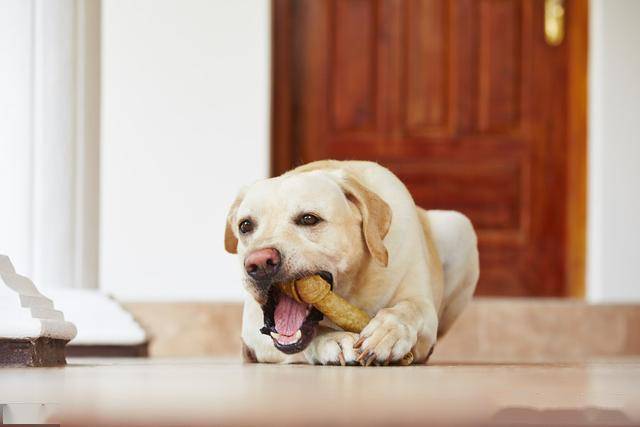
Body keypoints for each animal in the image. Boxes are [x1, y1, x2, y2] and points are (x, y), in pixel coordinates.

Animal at [226, 160, 480, 364]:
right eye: (245, 225)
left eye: (309, 219)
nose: (259, 262)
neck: (353, 290)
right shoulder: (251, 332)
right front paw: (334, 339)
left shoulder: (422, 305)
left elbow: (409, 309)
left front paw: (389, 331)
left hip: (461, 227)